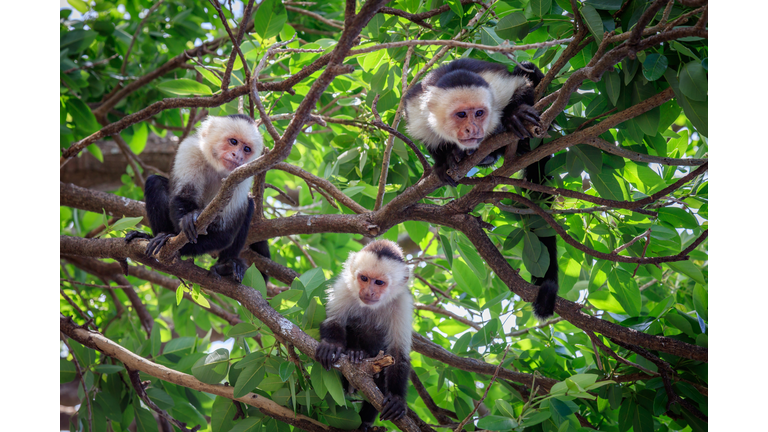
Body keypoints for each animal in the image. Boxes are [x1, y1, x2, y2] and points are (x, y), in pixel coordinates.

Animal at [126, 115, 270, 284]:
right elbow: (183, 196)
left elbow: (225, 233)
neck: (217, 166)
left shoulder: (243, 175)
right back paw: (157, 235)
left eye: (247, 149)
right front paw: (187, 220)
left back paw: (228, 266)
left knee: (248, 206)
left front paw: (177, 246)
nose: (238, 156)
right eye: (233, 141)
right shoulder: (191, 149)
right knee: (154, 182)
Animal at [316, 240, 414, 428]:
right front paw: (332, 346)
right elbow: (335, 321)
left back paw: (365, 423)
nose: (369, 292)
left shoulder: (402, 303)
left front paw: (397, 398)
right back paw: (356, 353)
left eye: (379, 282)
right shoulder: (344, 287)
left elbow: (398, 352)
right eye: (364, 278)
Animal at [402, 58, 560, 318]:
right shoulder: (416, 109)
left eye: (479, 113)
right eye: (461, 115)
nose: (473, 129)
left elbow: (521, 86)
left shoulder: (496, 89)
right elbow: (428, 137)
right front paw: (444, 160)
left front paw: (515, 114)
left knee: (526, 67)